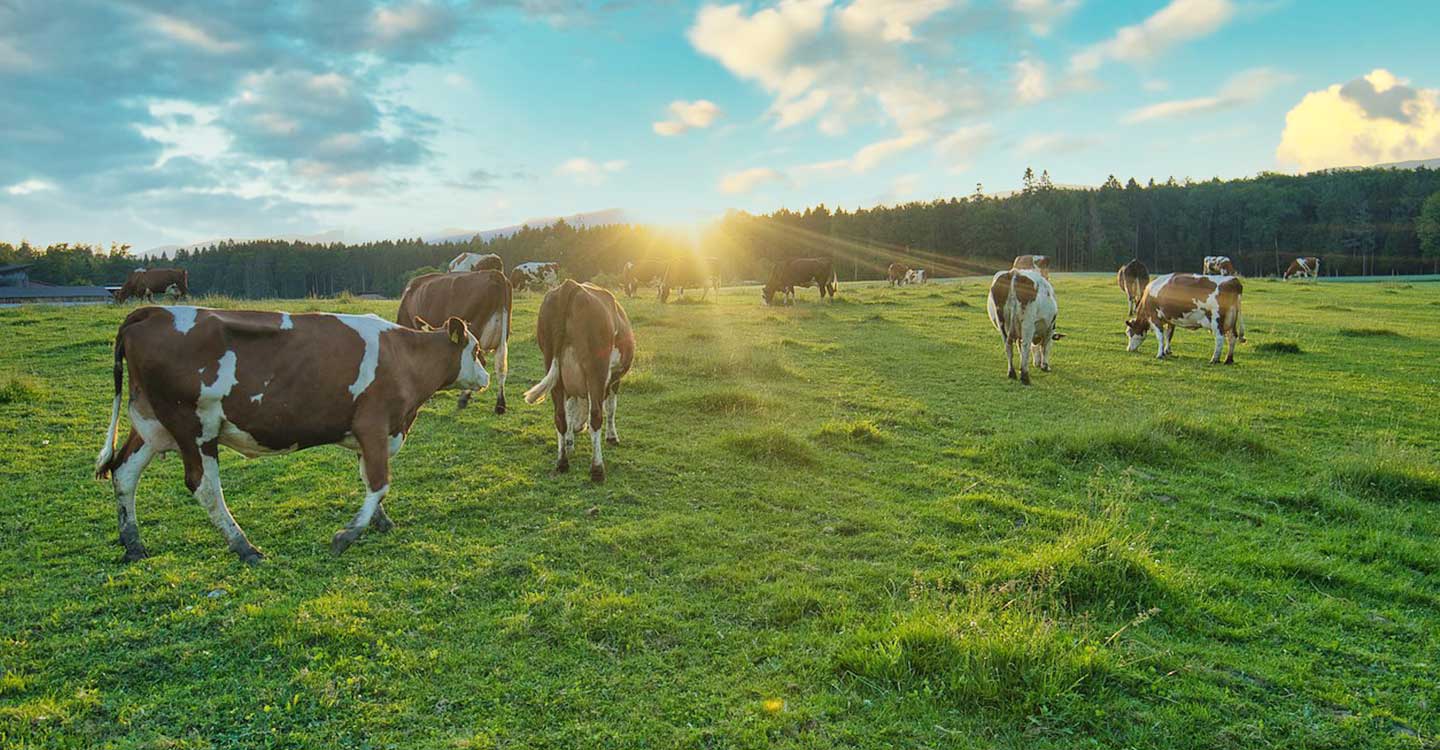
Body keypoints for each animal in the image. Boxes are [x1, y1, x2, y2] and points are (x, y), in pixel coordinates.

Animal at [97, 303, 489, 561]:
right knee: (204, 486)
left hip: (153, 422)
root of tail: (153, 311)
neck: (405, 356)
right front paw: (348, 534)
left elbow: (368, 479)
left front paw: (381, 521)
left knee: (124, 471)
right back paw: (244, 546)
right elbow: (379, 483)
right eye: (477, 351)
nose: (485, 378)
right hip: (194, 427)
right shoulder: (374, 424)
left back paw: (133, 543)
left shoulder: (369, 435)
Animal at [394, 267, 512, 411]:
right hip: (502, 336)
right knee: (501, 365)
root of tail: (495, 274)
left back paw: (464, 398)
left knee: (483, 361)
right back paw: (500, 405)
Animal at [518, 279, 630, 480]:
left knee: (560, 416)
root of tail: (570, 285)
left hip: (553, 366)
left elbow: (569, 410)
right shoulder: (613, 380)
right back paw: (597, 469)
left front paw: (570, 441)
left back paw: (562, 462)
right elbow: (611, 408)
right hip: (595, 369)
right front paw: (612, 437)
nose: (579, 428)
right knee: (596, 416)